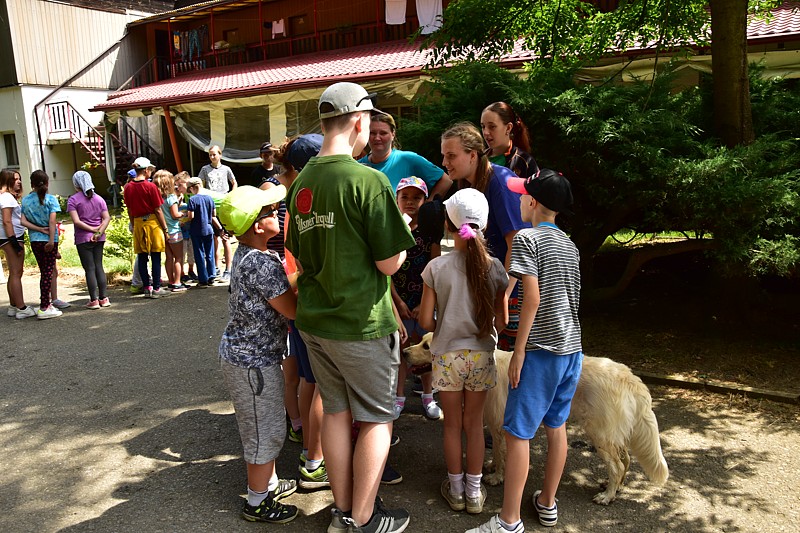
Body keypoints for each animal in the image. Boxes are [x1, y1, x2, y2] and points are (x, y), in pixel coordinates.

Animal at [406, 332, 668, 502]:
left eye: (427, 346)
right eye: (420, 341)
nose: (405, 351)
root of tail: (631, 378)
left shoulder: (501, 426)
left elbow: (502, 455)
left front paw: (497, 477)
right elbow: (496, 453)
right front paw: (491, 467)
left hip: (599, 433)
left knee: (617, 465)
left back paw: (607, 495)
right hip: (610, 434)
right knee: (625, 460)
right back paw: (615, 486)